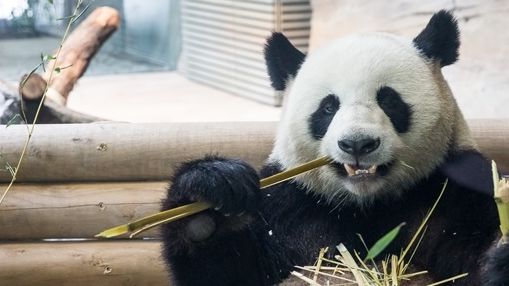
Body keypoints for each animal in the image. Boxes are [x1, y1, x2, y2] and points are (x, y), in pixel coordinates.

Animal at [161, 10, 508, 284]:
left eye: (389, 100)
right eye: (328, 107)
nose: (358, 143)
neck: (366, 203)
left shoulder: (452, 190)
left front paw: (501, 260)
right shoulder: (286, 203)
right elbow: (226, 270)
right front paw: (209, 202)